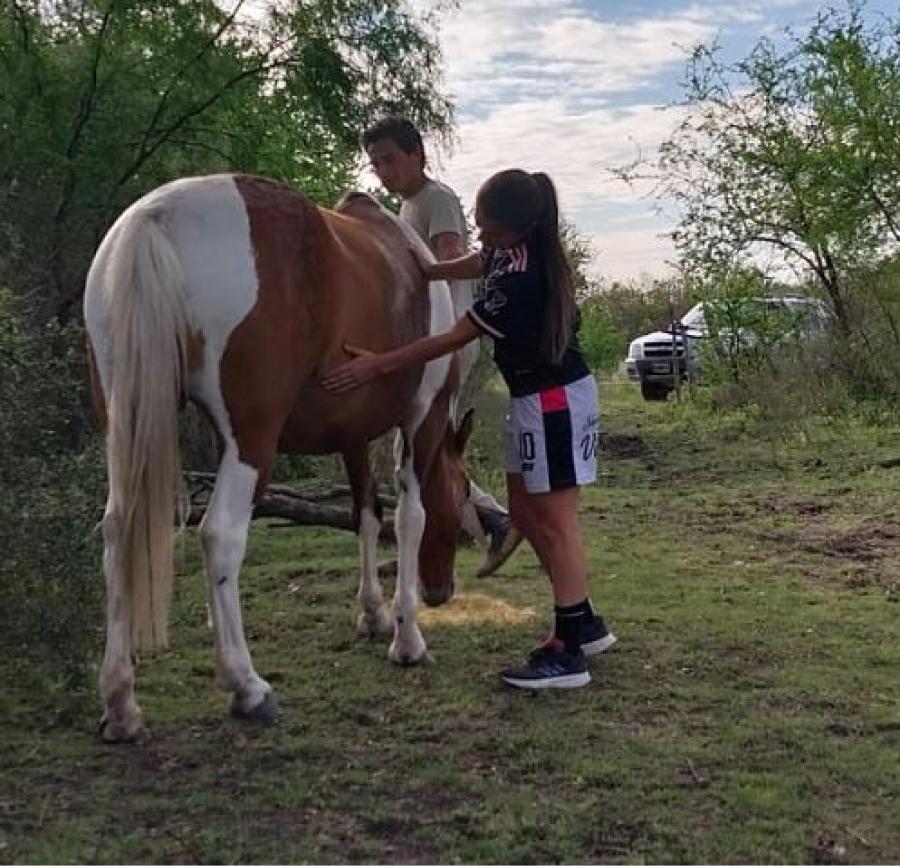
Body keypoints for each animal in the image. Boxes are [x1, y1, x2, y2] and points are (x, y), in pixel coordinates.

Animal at [84, 172, 472, 740]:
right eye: (462, 496)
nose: (442, 591)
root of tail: (156, 215)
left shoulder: (351, 434)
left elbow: (365, 515)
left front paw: (373, 614)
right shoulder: (422, 417)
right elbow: (408, 518)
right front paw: (407, 637)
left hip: (125, 424)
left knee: (118, 530)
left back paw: (120, 703)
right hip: (252, 440)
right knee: (220, 535)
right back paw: (247, 686)